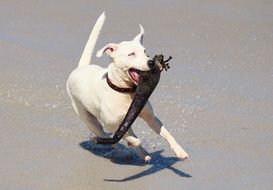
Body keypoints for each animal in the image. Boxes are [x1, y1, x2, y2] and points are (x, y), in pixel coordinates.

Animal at [67, 11, 188, 161]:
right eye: (132, 54)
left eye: (145, 53)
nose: (151, 62)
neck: (125, 91)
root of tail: (81, 67)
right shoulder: (112, 124)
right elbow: (131, 138)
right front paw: (133, 144)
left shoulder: (150, 118)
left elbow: (166, 132)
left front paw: (179, 151)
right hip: (89, 119)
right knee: (106, 136)